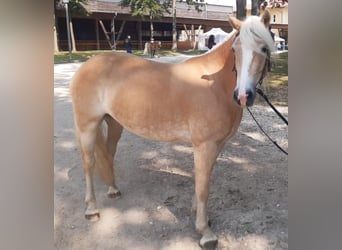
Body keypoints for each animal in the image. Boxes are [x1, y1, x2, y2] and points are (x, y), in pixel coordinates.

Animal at [70, 10, 276, 249]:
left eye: (264, 48)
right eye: (235, 49)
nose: (243, 96)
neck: (215, 85)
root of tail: (87, 65)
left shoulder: (216, 145)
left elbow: (203, 180)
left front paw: (199, 215)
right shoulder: (204, 145)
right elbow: (203, 187)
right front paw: (205, 232)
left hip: (114, 123)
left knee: (109, 154)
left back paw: (113, 190)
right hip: (87, 125)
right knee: (88, 163)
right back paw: (92, 210)